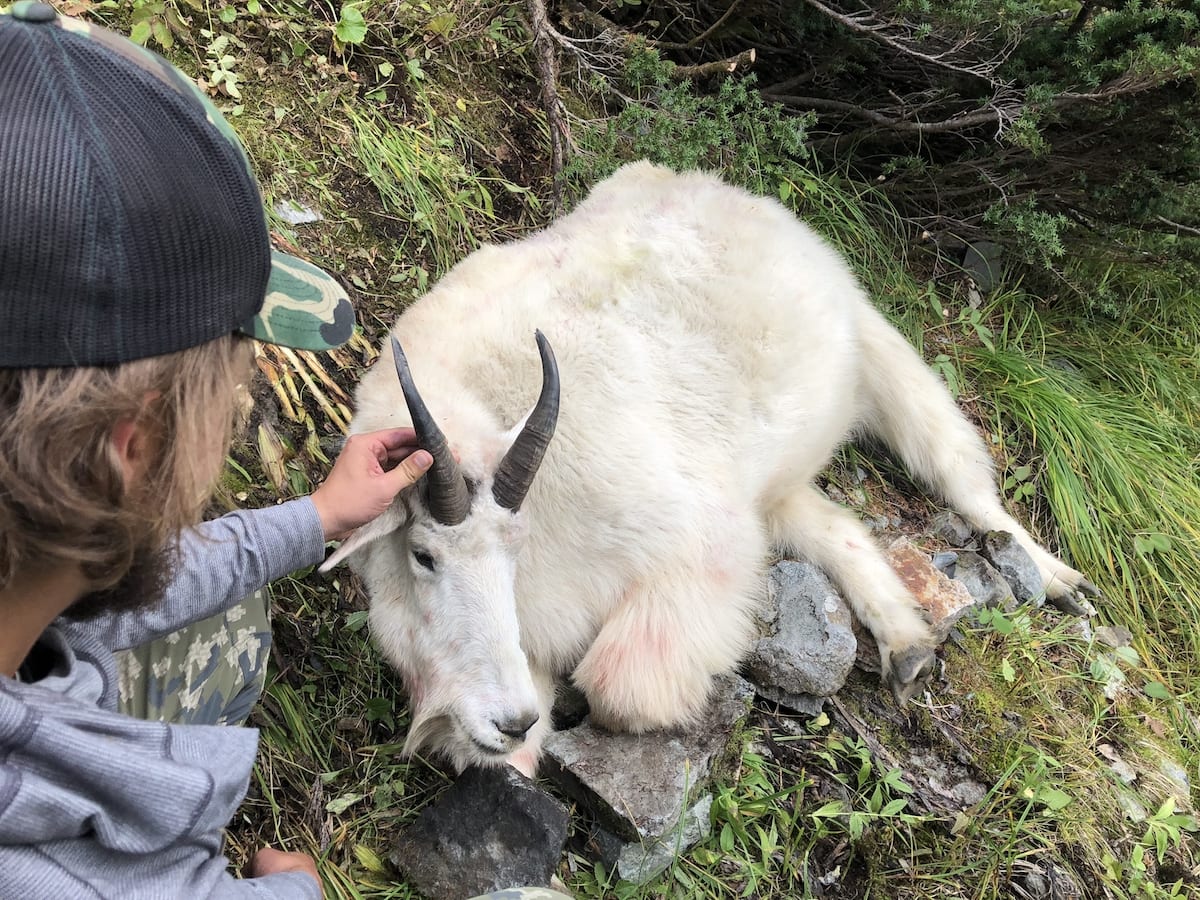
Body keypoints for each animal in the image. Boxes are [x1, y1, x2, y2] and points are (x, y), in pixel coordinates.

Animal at [321, 160, 1099, 777]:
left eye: (516, 547)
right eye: (423, 555)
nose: (508, 720)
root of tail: (733, 192)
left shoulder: (697, 549)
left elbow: (622, 686)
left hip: (878, 342)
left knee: (956, 469)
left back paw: (1063, 582)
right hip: (782, 475)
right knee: (832, 526)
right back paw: (908, 647)